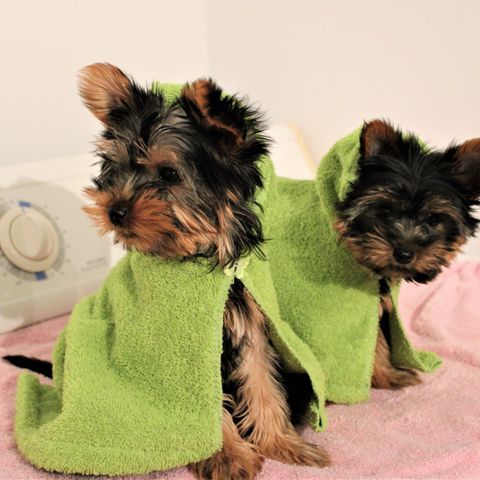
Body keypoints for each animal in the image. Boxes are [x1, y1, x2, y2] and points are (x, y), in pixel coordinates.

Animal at [336, 121, 480, 390]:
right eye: (385, 210)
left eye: (433, 219)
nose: (404, 253)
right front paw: (385, 376)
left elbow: (376, 339)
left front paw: (386, 374)